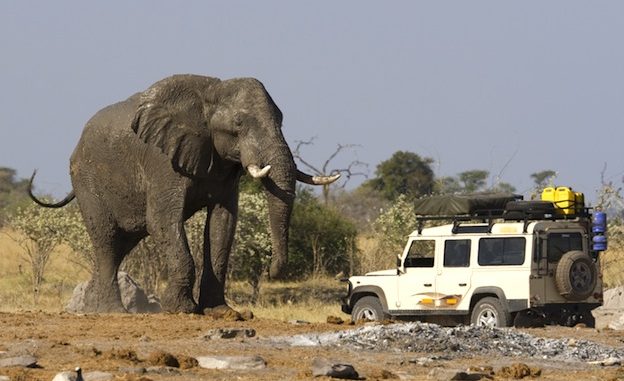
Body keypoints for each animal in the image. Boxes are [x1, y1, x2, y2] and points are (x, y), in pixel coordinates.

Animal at [28, 73, 342, 312]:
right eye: (239, 124)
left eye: (281, 120)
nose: (270, 271)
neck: (210, 93)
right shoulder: (161, 159)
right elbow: (163, 220)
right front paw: (182, 309)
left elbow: (222, 224)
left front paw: (220, 311)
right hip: (87, 180)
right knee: (107, 240)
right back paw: (111, 311)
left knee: (120, 245)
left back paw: (91, 307)